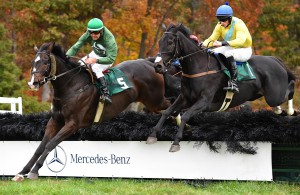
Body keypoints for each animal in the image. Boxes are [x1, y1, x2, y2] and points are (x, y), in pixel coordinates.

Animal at [12, 42, 171, 181]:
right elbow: (40, 147)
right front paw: (22, 172)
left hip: (155, 100)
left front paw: (34, 171)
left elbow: (51, 144)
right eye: (33, 62)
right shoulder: (55, 121)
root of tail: (150, 63)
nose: (32, 83)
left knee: (171, 105)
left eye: (45, 62)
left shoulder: (72, 124)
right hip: (152, 104)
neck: (71, 86)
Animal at [146, 23, 296, 152]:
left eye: (170, 42)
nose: (158, 66)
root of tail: (275, 59)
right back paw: (281, 111)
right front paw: (152, 135)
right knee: (278, 105)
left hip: (274, 96)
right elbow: (167, 112)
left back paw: (290, 109)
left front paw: (176, 142)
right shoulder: (185, 98)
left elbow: (186, 115)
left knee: (290, 88)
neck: (199, 66)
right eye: (160, 42)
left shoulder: (204, 102)